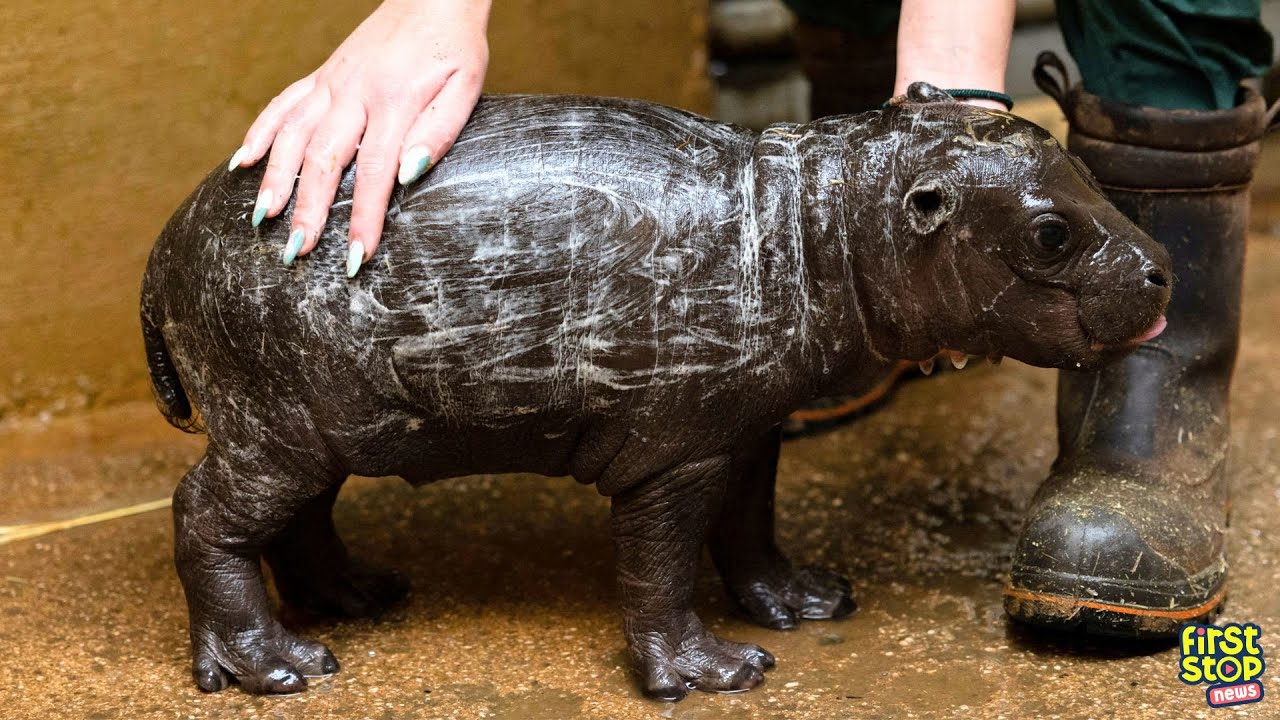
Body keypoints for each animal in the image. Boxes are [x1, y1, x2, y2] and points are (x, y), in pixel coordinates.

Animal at [141, 83, 1172, 700]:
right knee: (207, 515)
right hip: (272, 425)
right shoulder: (673, 451)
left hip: (317, 424)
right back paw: (279, 669)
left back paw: (359, 599)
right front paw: (713, 674)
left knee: (299, 514)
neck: (821, 223)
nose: (1162, 267)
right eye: (1049, 234)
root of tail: (164, 241)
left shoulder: (749, 426)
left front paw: (807, 603)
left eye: (1089, 168)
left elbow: (751, 523)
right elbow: (661, 561)